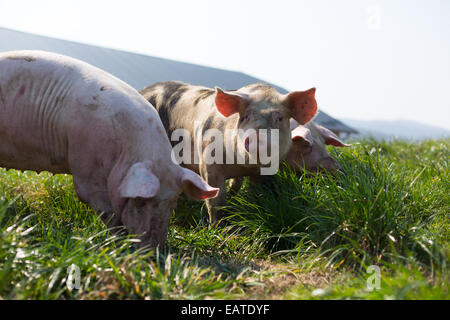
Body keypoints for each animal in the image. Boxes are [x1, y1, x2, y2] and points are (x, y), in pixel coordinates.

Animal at [0, 50, 218, 246]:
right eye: (140, 201)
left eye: (172, 203)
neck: (126, 152)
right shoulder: (84, 163)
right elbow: (100, 204)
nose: (152, 249)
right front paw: (117, 241)